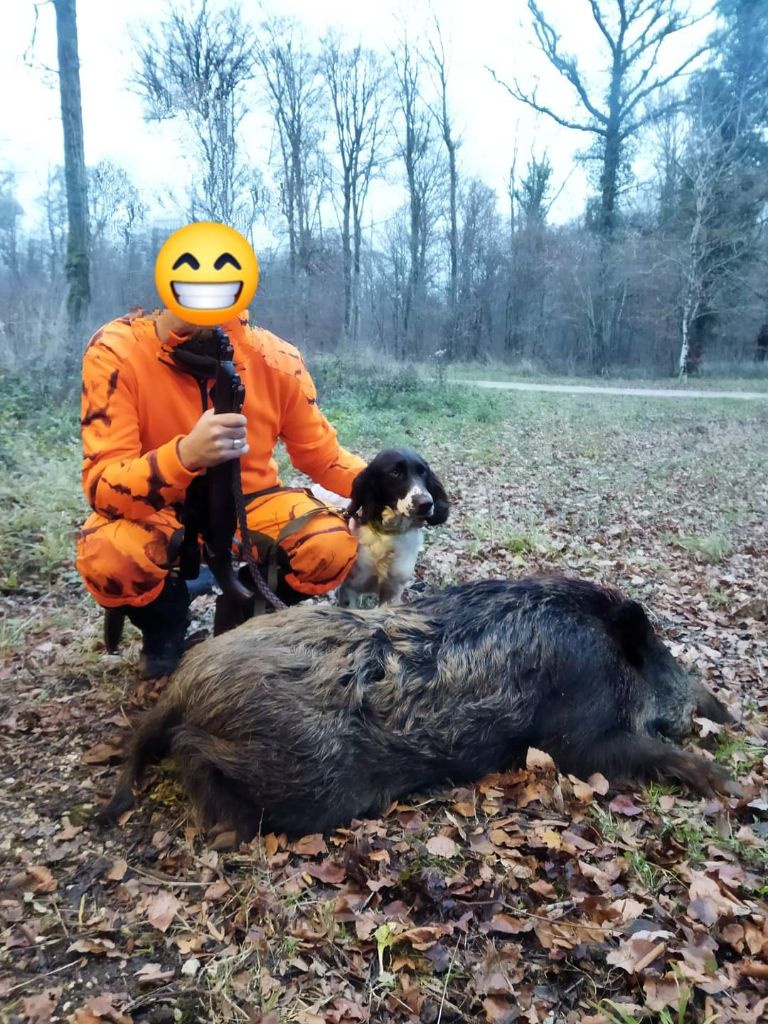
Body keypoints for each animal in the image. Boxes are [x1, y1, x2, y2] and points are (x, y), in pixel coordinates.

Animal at [335, 450, 450, 606]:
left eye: (422, 472)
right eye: (395, 473)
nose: (426, 504)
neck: (389, 533)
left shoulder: (392, 591)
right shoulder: (350, 588)